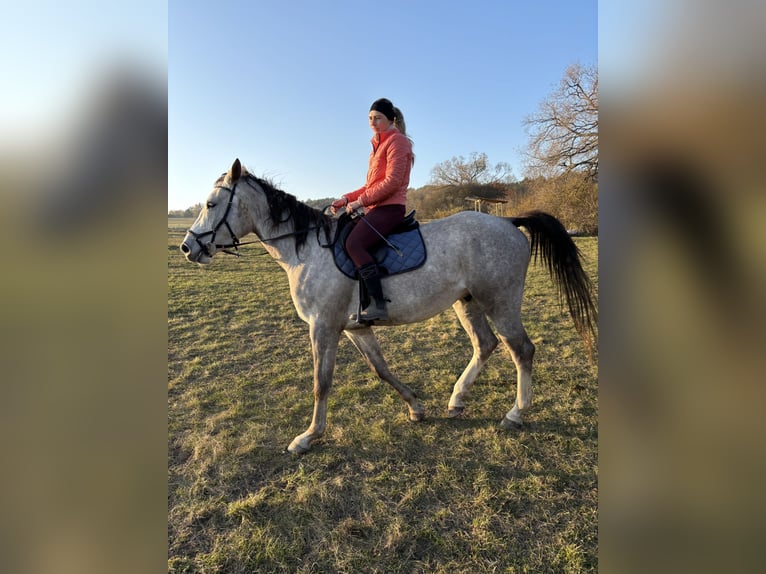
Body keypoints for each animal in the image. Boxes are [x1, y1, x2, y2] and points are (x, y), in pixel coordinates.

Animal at [180, 159, 597, 454]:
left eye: (211, 203)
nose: (188, 247)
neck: (307, 250)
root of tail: (508, 221)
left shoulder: (323, 327)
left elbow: (321, 382)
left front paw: (309, 436)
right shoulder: (356, 328)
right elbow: (380, 369)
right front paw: (416, 407)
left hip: (501, 302)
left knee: (521, 350)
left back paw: (515, 414)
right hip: (467, 303)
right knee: (486, 345)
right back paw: (457, 400)